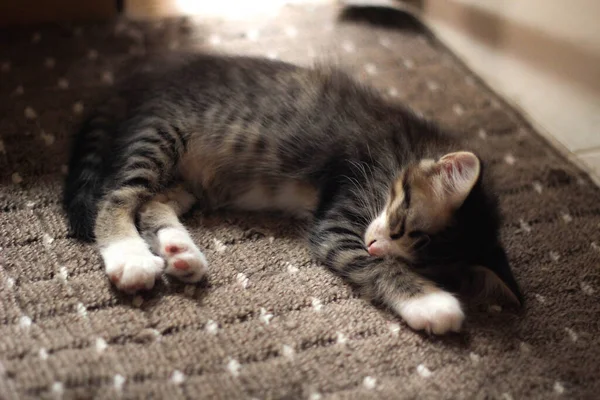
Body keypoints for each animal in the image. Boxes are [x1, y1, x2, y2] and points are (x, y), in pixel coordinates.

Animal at [64, 52, 520, 334]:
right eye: (400, 225)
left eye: (419, 256)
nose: (375, 244)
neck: (406, 153)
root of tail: (143, 81)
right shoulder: (345, 207)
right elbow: (368, 262)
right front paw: (432, 303)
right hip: (160, 135)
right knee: (116, 196)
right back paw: (130, 257)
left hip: (190, 180)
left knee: (153, 203)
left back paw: (180, 252)